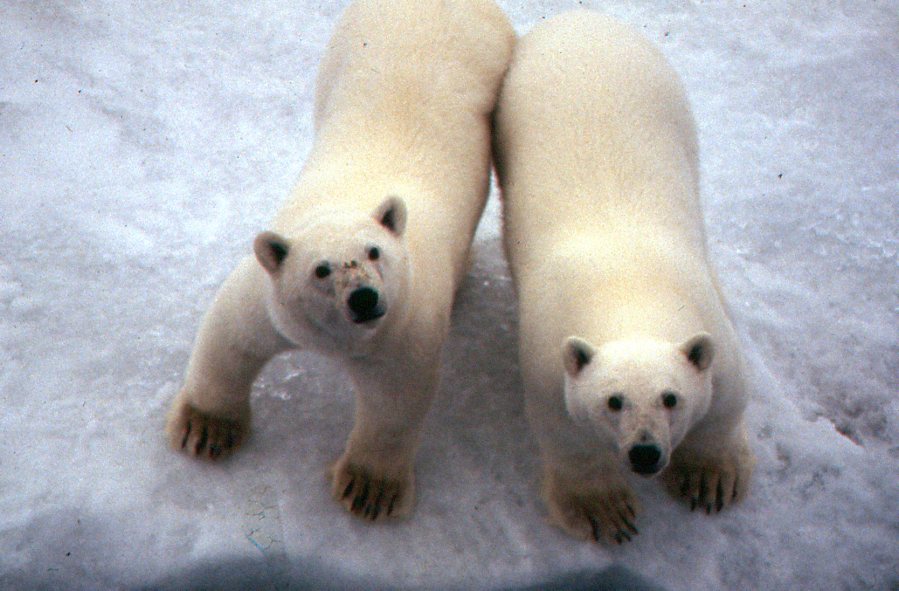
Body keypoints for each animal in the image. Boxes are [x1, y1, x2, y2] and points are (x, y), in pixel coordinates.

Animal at [166, 0, 514, 521]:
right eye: (321, 270)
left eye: (375, 252)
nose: (364, 299)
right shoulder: (269, 290)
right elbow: (232, 335)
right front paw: (204, 430)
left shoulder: (403, 323)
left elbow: (394, 402)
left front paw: (368, 491)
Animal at [493, 10, 755, 543]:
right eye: (613, 401)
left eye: (670, 397)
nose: (645, 452)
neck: (629, 291)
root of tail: (579, 16)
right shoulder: (548, 359)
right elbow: (568, 437)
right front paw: (605, 512)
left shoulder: (712, 326)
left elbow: (725, 402)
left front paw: (710, 480)